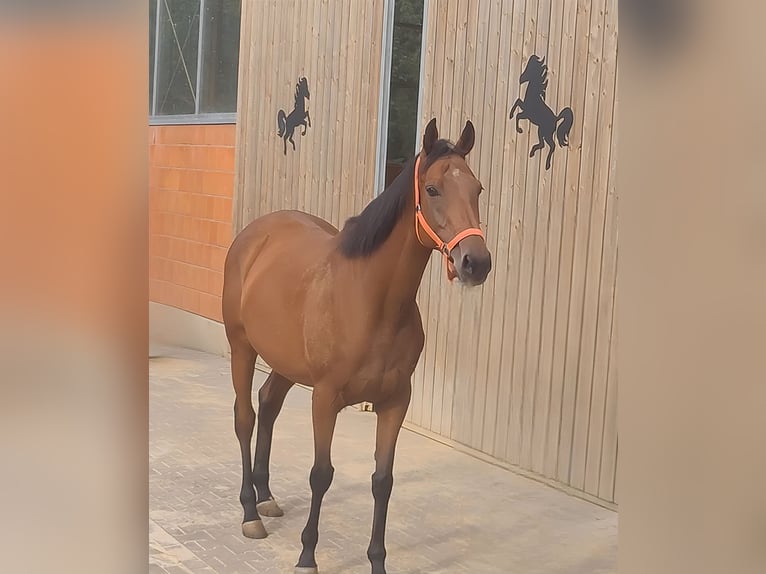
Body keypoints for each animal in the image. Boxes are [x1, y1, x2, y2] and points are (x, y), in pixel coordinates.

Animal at [222, 117, 492, 574]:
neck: (373, 301)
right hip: (241, 347)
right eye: (433, 188)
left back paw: (266, 496)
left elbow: (383, 481)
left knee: (269, 402)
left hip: (285, 361)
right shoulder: (325, 397)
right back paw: (249, 513)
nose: (477, 262)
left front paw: (377, 561)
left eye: (477, 188)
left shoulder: (396, 401)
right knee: (246, 417)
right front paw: (307, 556)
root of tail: (254, 235)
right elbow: (321, 474)